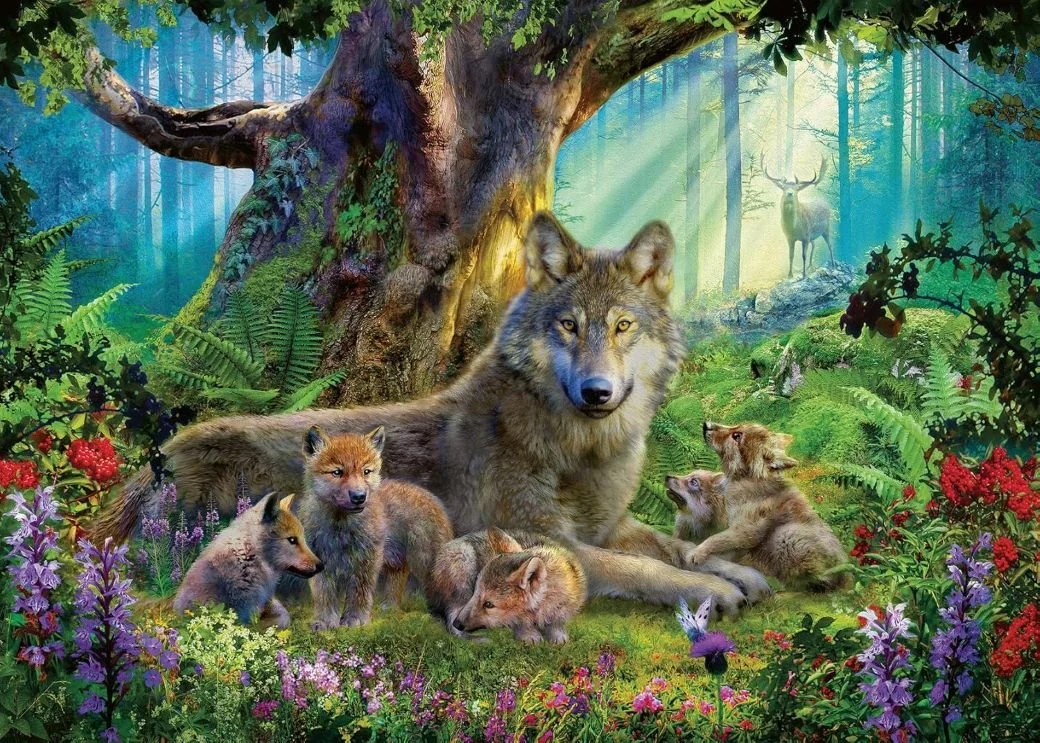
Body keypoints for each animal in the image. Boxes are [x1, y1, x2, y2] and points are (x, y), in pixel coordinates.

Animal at [298, 426, 454, 628]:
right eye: (337, 472)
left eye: (366, 471)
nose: (359, 496)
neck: (341, 527)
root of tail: (431, 497)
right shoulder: (320, 559)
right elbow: (324, 594)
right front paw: (324, 622)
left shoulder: (367, 560)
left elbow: (360, 592)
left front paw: (355, 619)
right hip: (397, 561)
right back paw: (391, 608)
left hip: (426, 562)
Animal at [687, 422, 850, 592]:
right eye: (736, 427)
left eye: (736, 436)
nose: (706, 424)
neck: (744, 480)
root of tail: (847, 576)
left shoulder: (746, 531)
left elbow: (716, 538)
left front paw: (697, 552)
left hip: (786, 535)